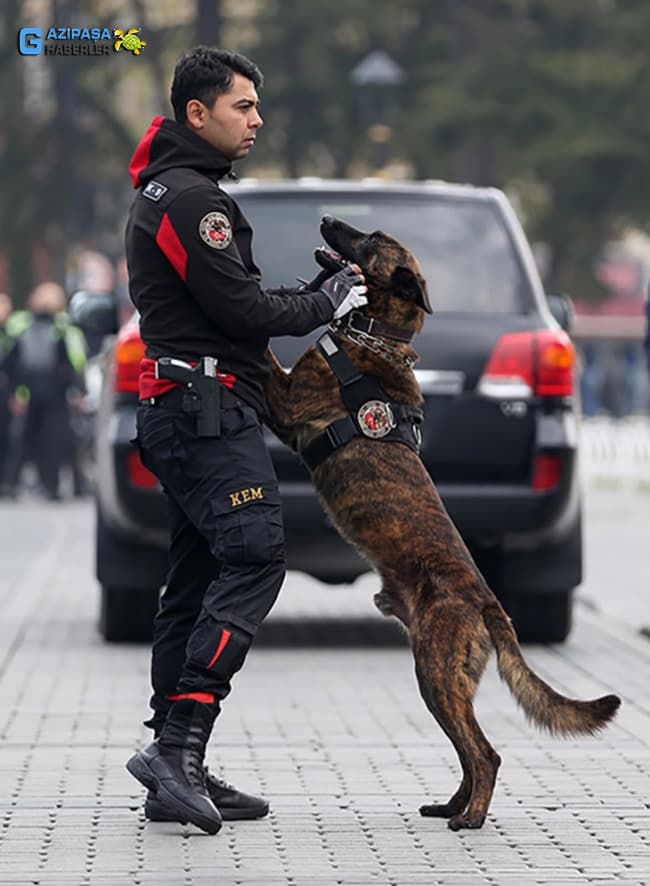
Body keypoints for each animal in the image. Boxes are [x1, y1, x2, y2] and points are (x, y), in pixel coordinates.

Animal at [264, 215, 616, 832]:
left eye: (370, 239)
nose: (328, 218)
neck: (375, 338)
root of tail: (485, 601)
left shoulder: (286, 402)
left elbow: (255, 356)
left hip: (434, 672)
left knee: (485, 752)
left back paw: (469, 817)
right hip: (445, 681)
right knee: (469, 751)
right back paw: (452, 805)